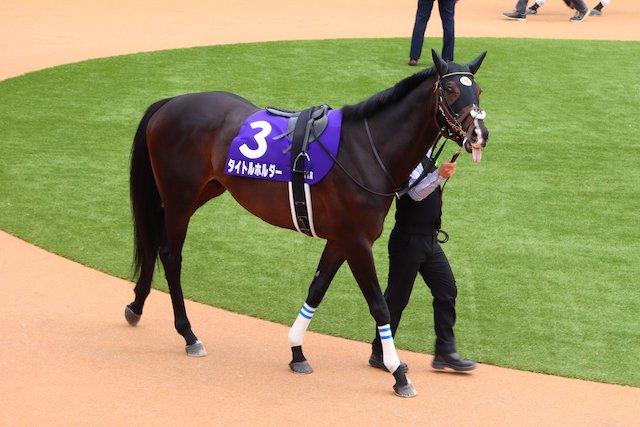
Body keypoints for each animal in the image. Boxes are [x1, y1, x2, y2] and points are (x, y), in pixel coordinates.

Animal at [125, 50, 488, 398]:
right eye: (451, 89)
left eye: (479, 90)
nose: (480, 134)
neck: (365, 151)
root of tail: (170, 102)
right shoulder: (357, 242)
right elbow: (380, 305)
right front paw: (397, 372)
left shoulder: (340, 240)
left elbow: (316, 289)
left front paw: (297, 351)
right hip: (180, 197)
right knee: (171, 255)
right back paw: (188, 334)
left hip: (204, 191)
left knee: (154, 241)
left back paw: (136, 305)